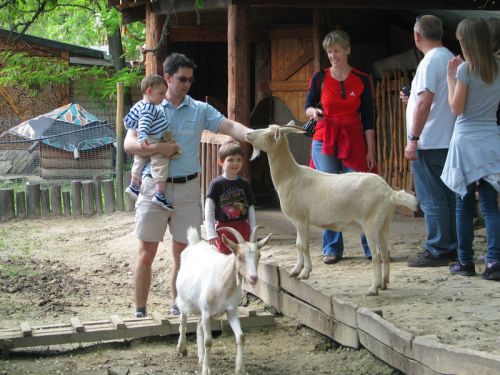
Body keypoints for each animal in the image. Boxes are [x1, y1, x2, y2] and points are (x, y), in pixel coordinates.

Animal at [177, 226, 272, 375]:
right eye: (240, 257)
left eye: (259, 256)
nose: (253, 278)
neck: (222, 281)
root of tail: (195, 243)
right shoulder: (206, 311)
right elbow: (208, 341)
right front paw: (206, 370)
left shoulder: (231, 311)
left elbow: (240, 337)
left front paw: (239, 369)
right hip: (183, 299)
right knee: (183, 319)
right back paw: (182, 349)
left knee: (198, 326)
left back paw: (201, 357)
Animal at [246, 122, 418, 296]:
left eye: (269, 133)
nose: (248, 134)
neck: (291, 177)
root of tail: (390, 193)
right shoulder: (297, 221)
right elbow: (298, 244)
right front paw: (295, 271)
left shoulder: (301, 219)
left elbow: (304, 245)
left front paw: (305, 272)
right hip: (384, 223)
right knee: (384, 252)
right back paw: (384, 283)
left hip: (371, 223)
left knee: (376, 254)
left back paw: (373, 288)